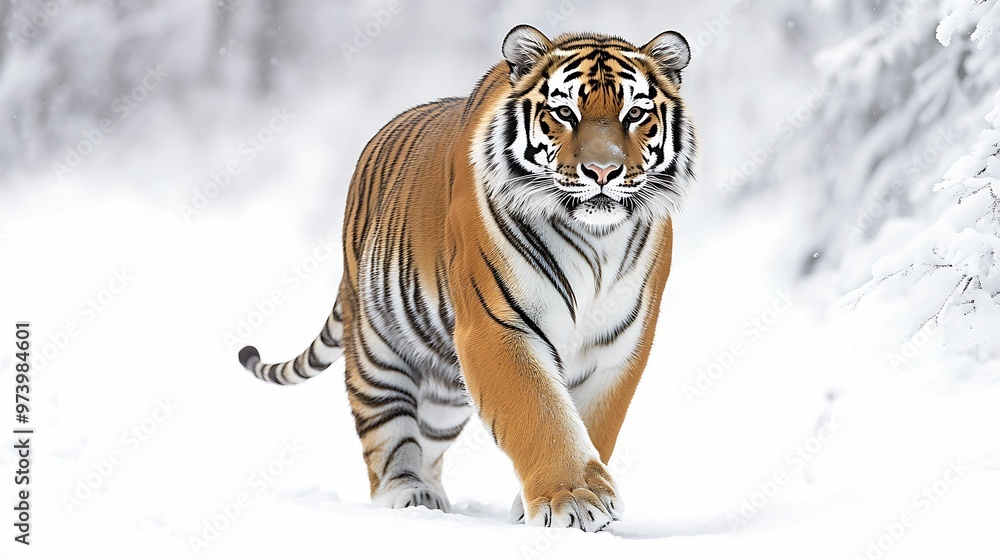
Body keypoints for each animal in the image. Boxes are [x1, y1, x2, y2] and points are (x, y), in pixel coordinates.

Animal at [238, 24, 696, 532]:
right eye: (564, 112)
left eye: (635, 113)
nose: (603, 170)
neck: (596, 240)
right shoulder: (498, 327)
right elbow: (541, 413)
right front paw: (573, 500)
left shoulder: (619, 346)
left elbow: (593, 424)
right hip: (377, 351)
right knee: (387, 433)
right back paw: (408, 494)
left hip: (443, 387)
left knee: (429, 437)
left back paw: (433, 494)